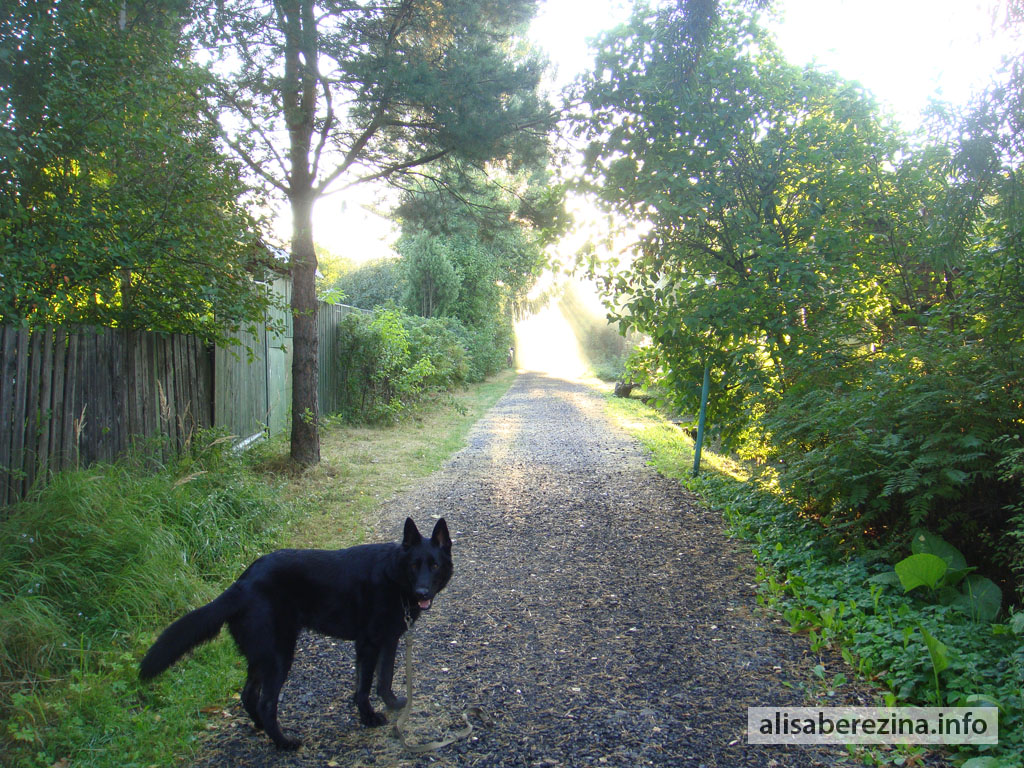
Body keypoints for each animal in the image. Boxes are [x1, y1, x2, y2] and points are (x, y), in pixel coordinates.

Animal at [139, 520, 452, 749]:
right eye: (414, 566)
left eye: (434, 565)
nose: (422, 593)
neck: (394, 577)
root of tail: (242, 583)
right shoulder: (368, 645)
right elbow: (363, 688)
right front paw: (368, 717)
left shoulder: (389, 641)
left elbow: (384, 679)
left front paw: (392, 704)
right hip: (279, 655)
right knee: (266, 703)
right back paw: (284, 743)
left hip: (262, 656)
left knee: (248, 695)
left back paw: (260, 727)